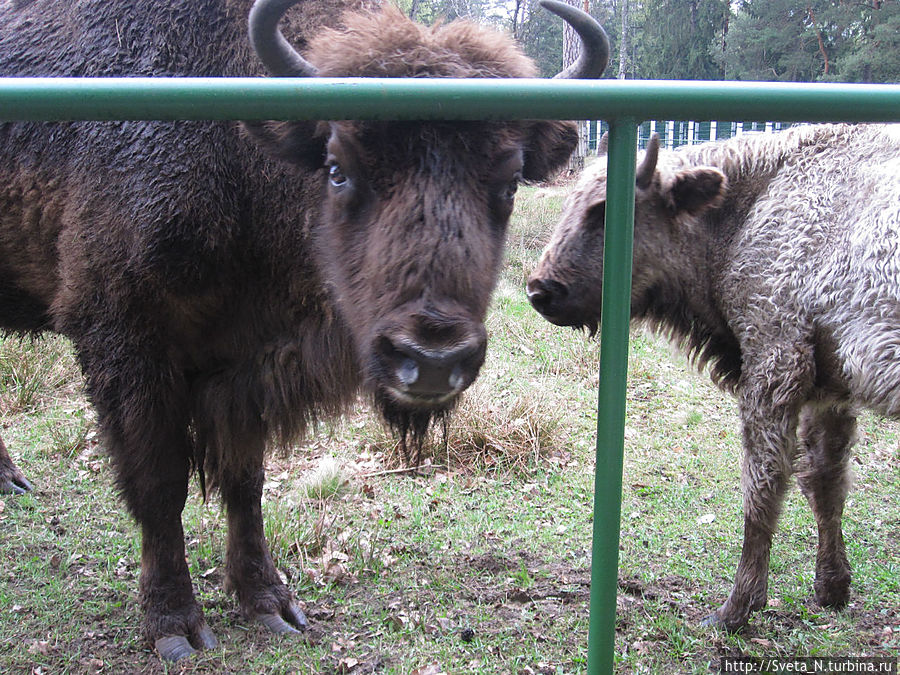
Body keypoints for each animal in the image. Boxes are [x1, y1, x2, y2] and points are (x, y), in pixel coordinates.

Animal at [0, 0, 608, 660]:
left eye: (509, 182)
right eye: (337, 169)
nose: (431, 358)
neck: (237, 156)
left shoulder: (243, 365)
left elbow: (245, 481)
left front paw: (269, 603)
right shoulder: (125, 344)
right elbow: (160, 485)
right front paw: (174, 624)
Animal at [528, 124, 900, 632]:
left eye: (605, 211)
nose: (540, 290)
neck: (753, 205)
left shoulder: (775, 363)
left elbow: (763, 488)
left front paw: (736, 609)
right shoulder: (829, 389)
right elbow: (825, 482)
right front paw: (832, 589)